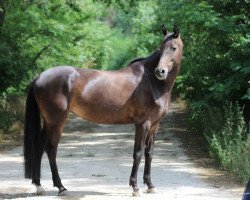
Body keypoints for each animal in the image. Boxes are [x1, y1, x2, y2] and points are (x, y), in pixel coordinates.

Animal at [23, 24, 184, 195]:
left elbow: (149, 153)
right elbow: (138, 153)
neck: (150, 81)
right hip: (57, 121)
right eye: (161, 48)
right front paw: (135, 187)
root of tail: (39, 77)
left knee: (39, 147)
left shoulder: (154, 125)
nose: (160, 72)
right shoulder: (143, 124)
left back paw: (39, 186)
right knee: (51, 149)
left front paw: (150, 185)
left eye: (173, 48)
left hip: (48, 121)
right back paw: (61, 187)